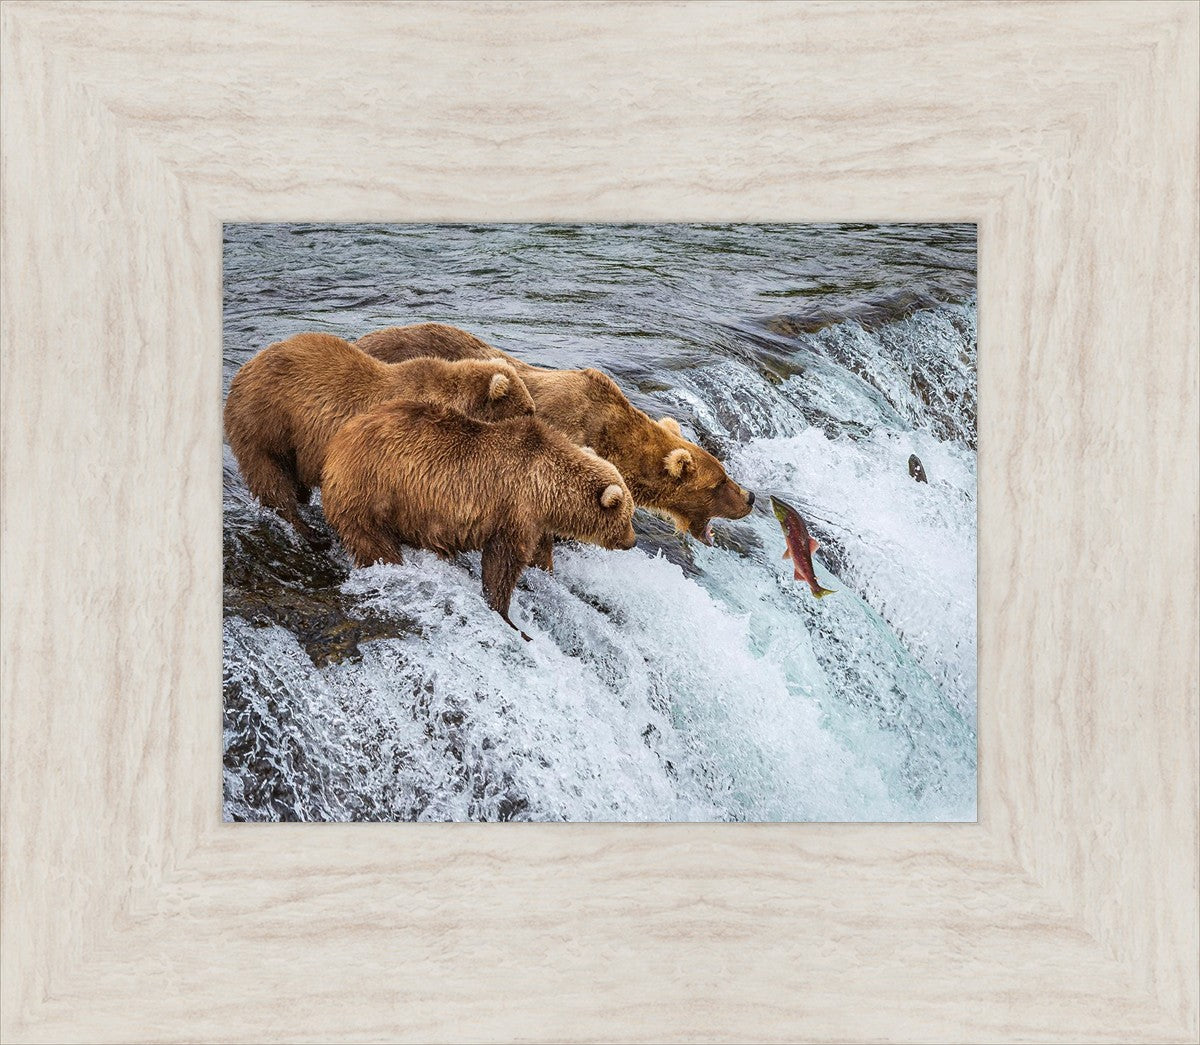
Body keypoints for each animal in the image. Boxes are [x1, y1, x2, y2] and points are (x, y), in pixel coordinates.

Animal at [224, 331, 535, 546]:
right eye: (527, 410)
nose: (536, 421)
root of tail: (244, 369)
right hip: (267, 422)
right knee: (271, 477)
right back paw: (308, 531)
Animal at [321, 400, 638, 639]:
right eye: (628, 516)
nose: (632, 541)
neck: (547, 488)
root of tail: (338, 442)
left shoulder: (535, 520)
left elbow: (538, 553)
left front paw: (545, 572)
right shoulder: (514, 508)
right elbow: (503, 563)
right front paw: (507, 616)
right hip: (373, 491)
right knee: (373, 541)